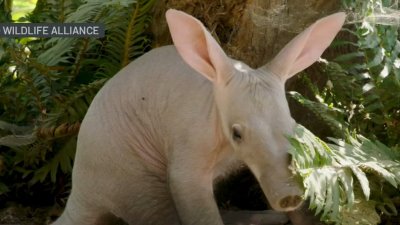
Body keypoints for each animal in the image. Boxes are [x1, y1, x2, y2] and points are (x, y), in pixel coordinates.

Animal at [51, 9, 346, 225]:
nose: (288, 196)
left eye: (293, 127)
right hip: (134, 184)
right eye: (237, 134)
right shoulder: (190, 144)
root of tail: (80, 194)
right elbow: (194, 200)